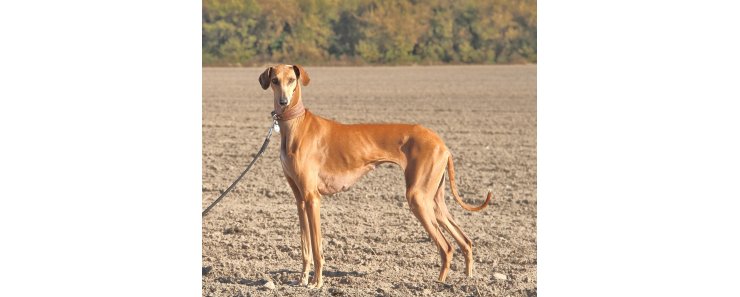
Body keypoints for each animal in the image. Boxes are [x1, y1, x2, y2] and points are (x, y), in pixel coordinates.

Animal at [258, 63, 494, 286]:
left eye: (292, 80)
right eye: (275, 80)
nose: (283, 102)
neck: (295, 126)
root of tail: (441, 142)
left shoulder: (312, 198)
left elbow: (317, 248)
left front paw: (317, 283)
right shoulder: (300, 200)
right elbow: (305, 247)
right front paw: (302, 280)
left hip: (418, 198)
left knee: (446, 247)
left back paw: (440, 283)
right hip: (434, 201)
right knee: (465, 241)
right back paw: (467, 279)